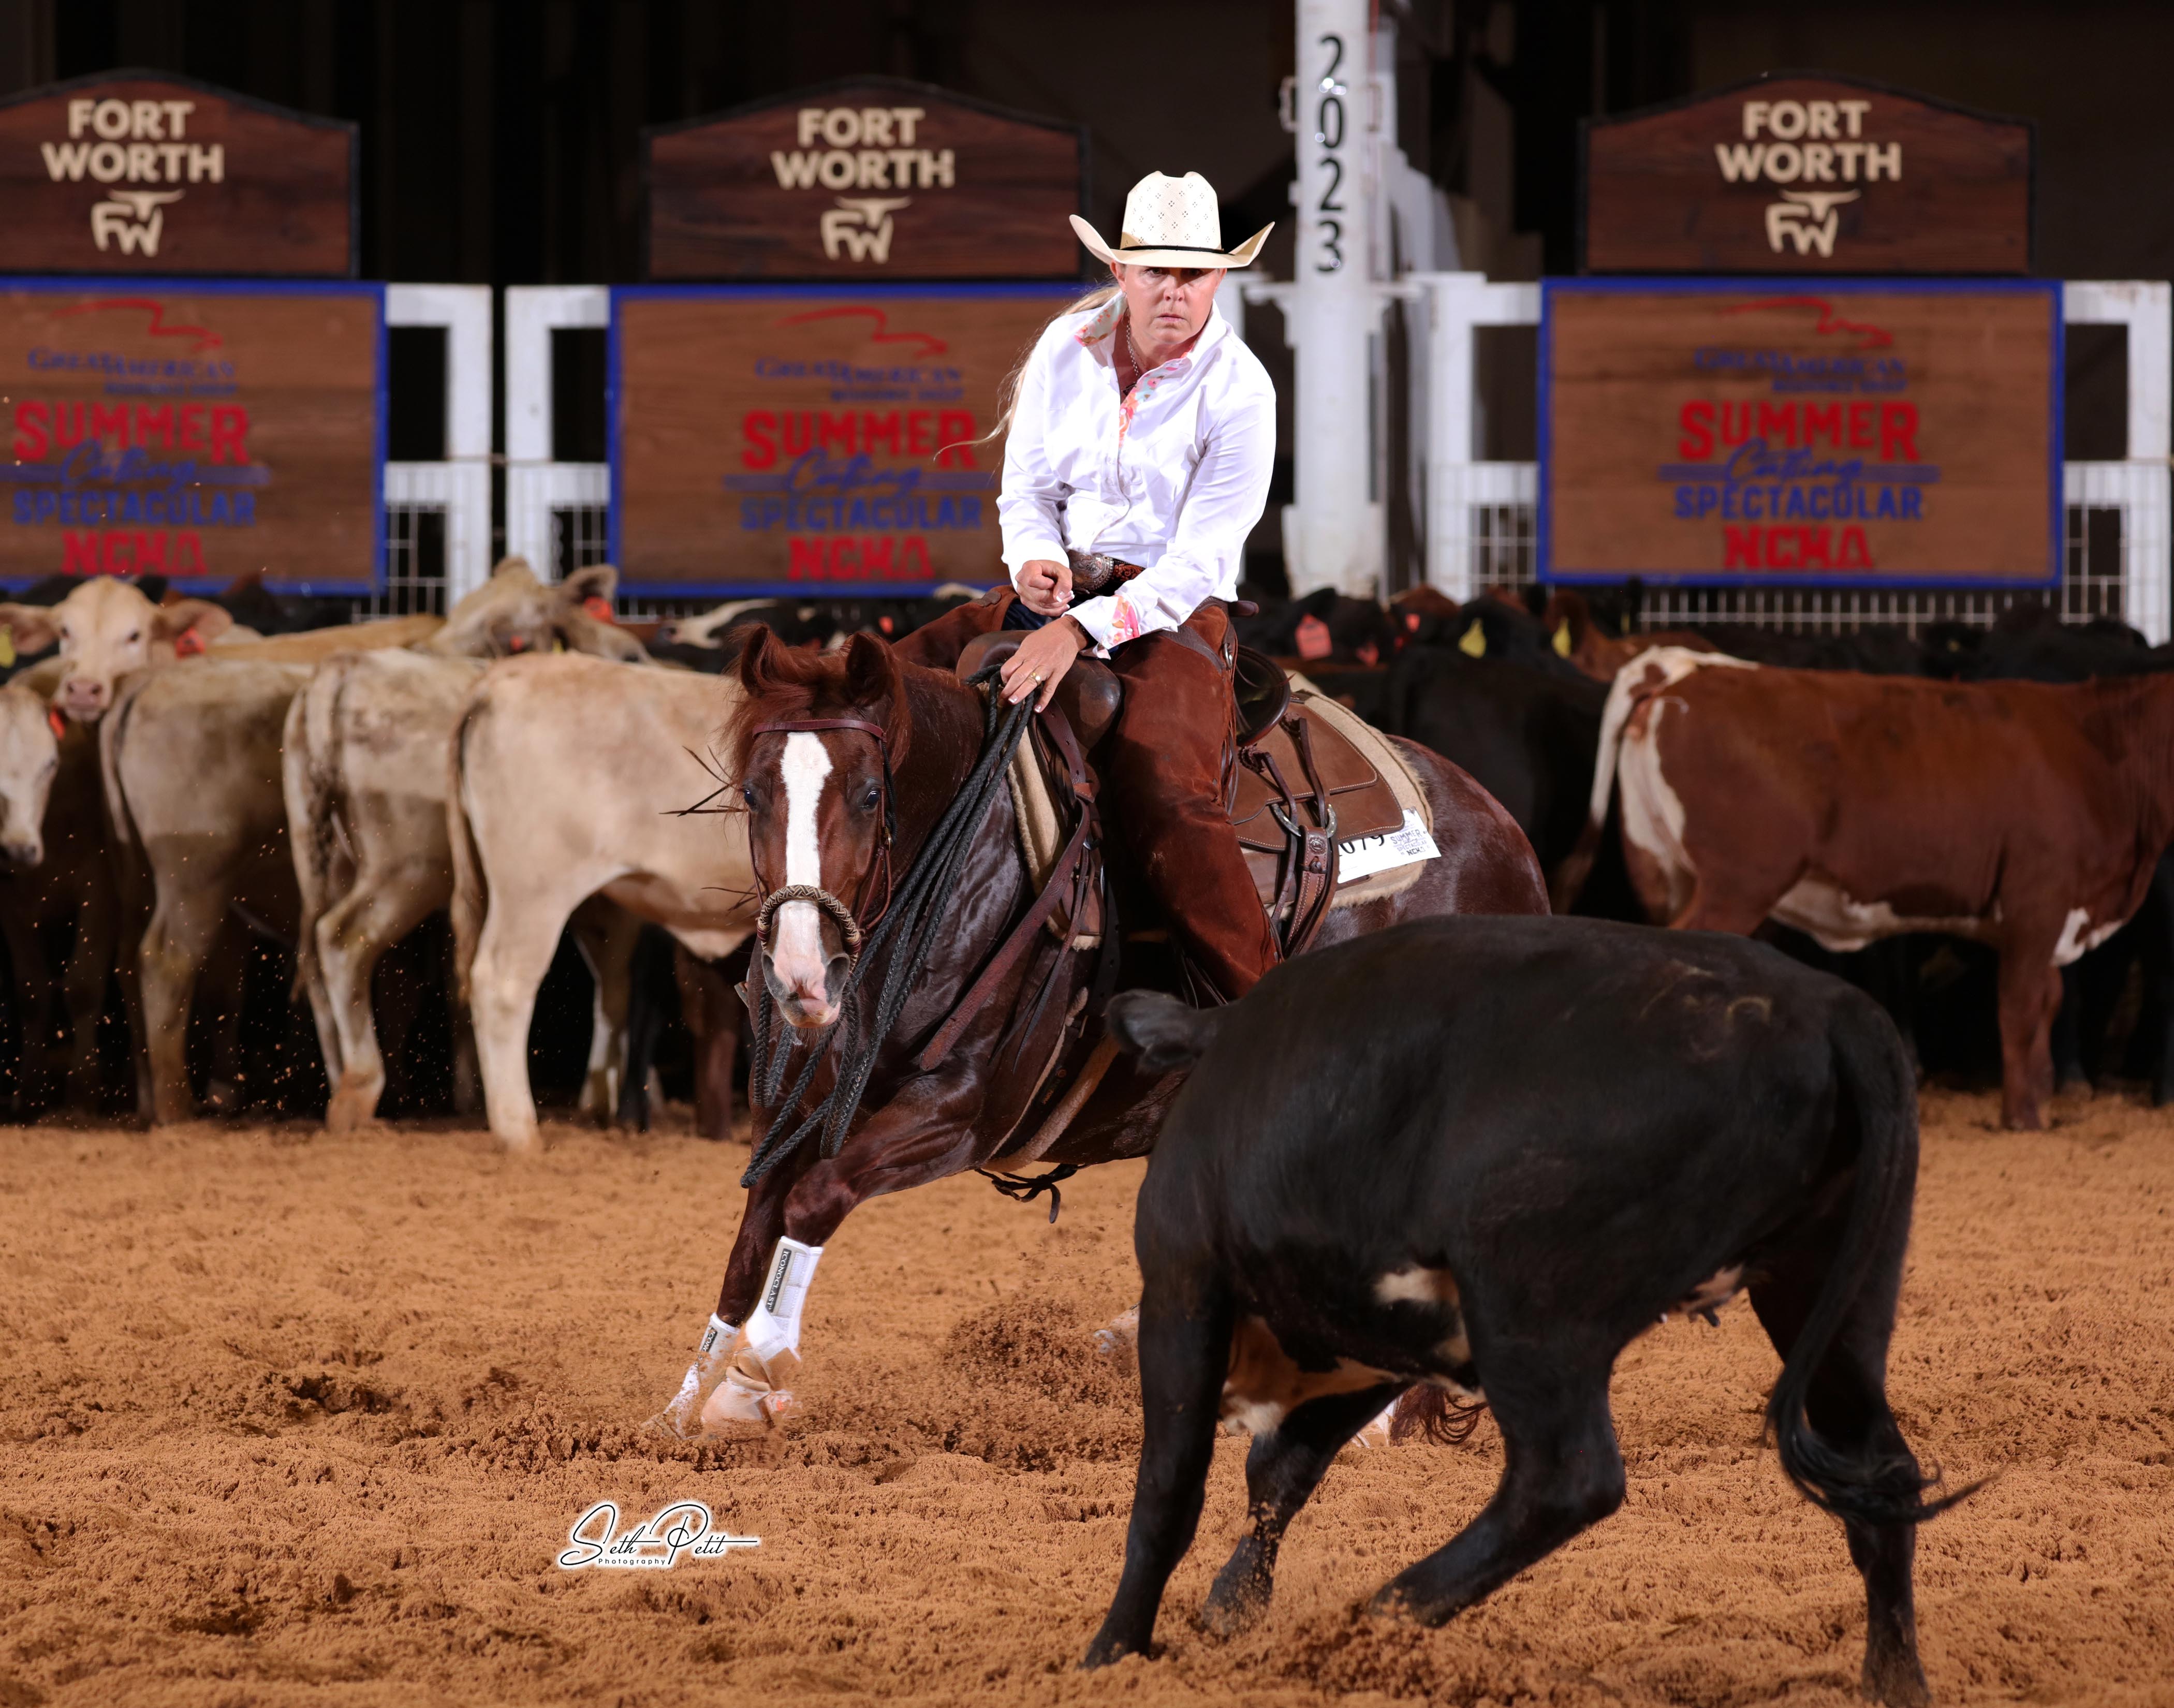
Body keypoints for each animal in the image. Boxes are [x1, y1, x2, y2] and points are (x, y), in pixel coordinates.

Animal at [649, 626, 1548, 1439]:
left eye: (871, 795)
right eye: (754, 794)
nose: (801, 972)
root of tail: (1507, 837)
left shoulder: (963, 1113)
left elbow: (815, 1198)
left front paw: (755, 1374)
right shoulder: (807, 1105)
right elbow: (752, 1235)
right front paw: (683, 1405)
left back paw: (1372, 1415)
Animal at [1082, 916, 1957, 1708]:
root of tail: (1826, 1008)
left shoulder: (1183, 1283)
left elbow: (1169, 1493)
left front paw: (1112, 1654)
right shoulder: (1379, 1342)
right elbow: (1282, 1469)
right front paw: (1231, 1607)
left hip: (1531, 1308)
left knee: (1567, 1479)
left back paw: (1382, 1617)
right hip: (1832, 1290)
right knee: (1880, 1468)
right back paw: (1894, 1683)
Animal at [1564, 646, 2174, 1128]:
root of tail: (1685, 666)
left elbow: (2048, 999)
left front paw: (2042, 1102)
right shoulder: (2038, 896)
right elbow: (2021, 1004)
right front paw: (2022, 1117)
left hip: (1664, 871)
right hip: (1736, 885)